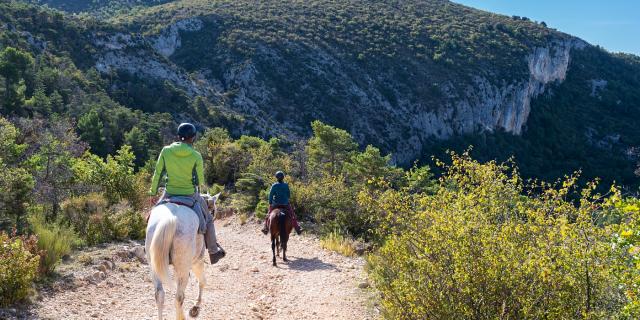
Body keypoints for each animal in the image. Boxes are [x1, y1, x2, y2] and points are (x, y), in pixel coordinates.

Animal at [146, 192, 220, 320]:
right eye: (213, 210)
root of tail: (170, 218)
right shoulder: (197, 262)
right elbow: (202, 281)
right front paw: (195, 308)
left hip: (154, 265)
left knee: (159, 294)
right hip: (184, 267)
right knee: (178, 297)